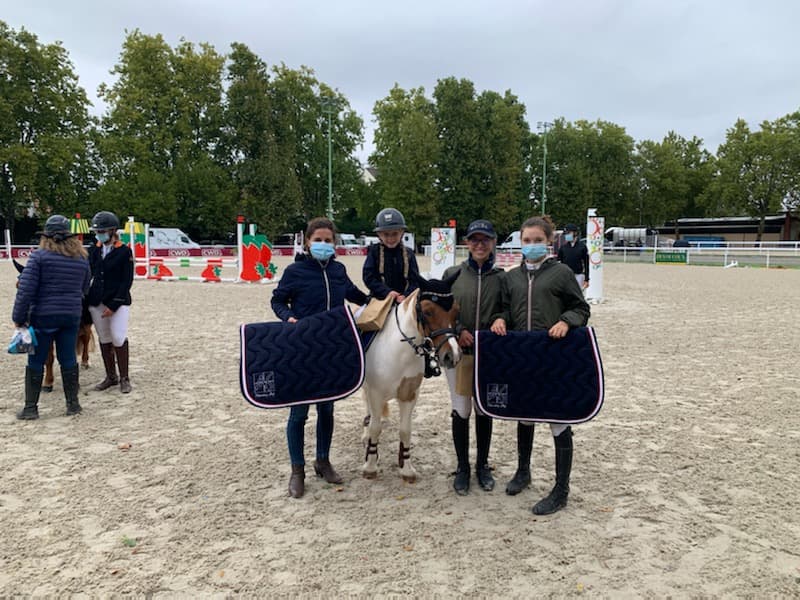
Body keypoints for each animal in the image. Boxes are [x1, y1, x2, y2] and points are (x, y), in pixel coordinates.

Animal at [362, 272, 462, 482]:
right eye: (428, 312)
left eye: (456, 311)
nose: (453, 355)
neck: (399, 351)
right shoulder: (376, 394)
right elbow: (376, 427)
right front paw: (370, 466)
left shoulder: (409, 396)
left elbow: (405, 431)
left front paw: (406, 468)